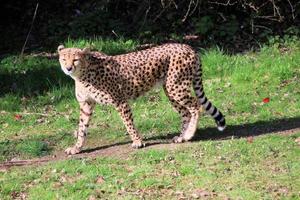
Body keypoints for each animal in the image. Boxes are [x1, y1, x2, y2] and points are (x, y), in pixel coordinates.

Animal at [57, 44, 225, 155]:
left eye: (76, 59)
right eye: (64, 59)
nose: (68, 68)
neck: (82, 74)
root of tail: (188, 47)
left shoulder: (120, 101)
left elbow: (128, 123)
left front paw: (138, 141)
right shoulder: (86, 104)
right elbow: (82, 128)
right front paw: (77, 148)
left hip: (176, 87)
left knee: (196, 106)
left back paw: (189, 134)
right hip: (170, 90)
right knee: (186, 112)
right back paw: (182, 137)